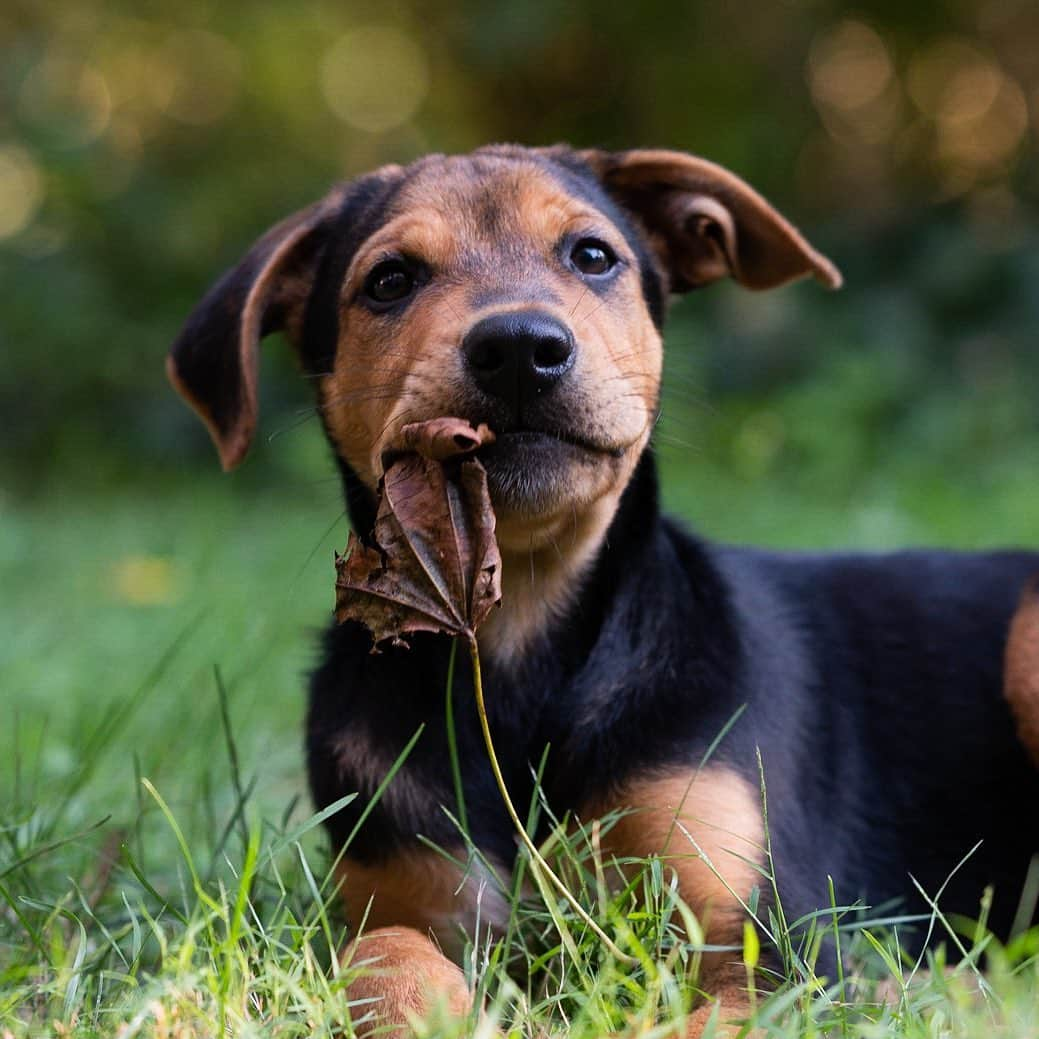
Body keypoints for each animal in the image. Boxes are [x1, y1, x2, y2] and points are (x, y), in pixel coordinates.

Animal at [168, 144, 1039, 1030]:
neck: (515, 634)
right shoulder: (406, 888)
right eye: (389, 280)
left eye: (591, 255)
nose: (519, 346)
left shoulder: (768, 931)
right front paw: (428, 1010)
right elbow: (379, 954)